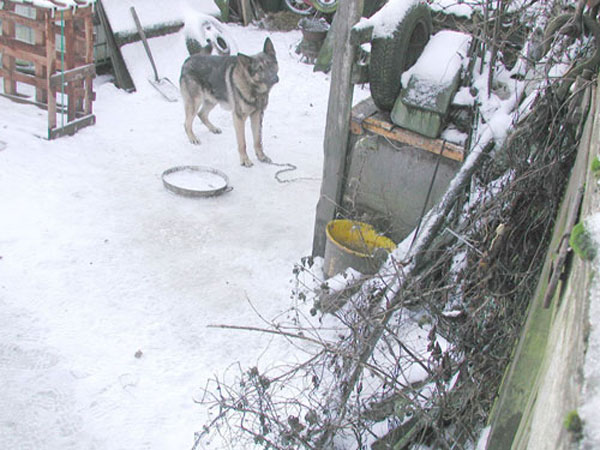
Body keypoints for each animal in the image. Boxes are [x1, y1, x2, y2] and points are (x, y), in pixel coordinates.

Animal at [179, 37, 280, 167]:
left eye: (271, 64)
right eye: (259, 69)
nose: (275, 79)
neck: (251, 85)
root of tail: (188, 59)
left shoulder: (257, 115)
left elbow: (258, 140)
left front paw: (261, 156)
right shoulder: (239, 118)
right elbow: (242, 142)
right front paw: (245, 160)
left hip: (212, 100)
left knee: (201, 114)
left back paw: (213, 128)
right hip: (195, 102)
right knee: (187, 123)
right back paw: (193, 138)